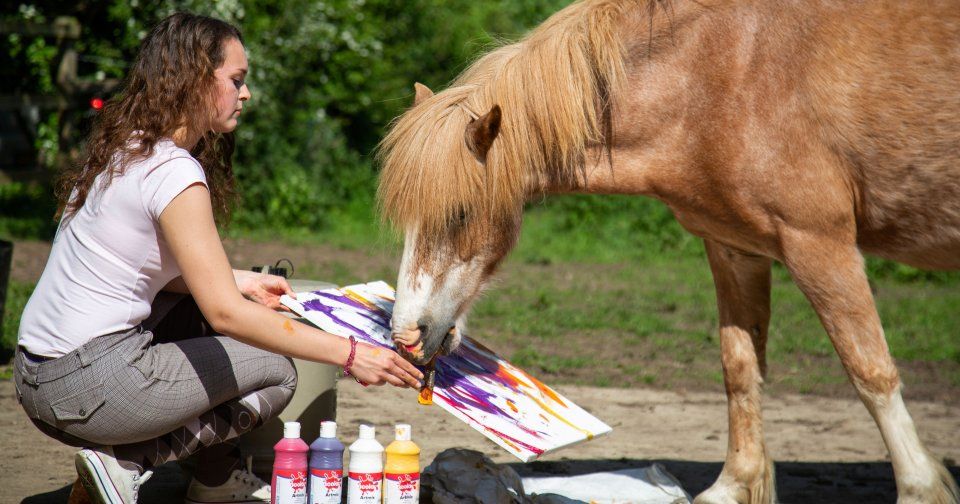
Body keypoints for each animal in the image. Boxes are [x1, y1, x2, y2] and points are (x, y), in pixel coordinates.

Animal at [376, 1, 960, 502]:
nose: (406, 336)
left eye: (459, 213)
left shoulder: (819, 242)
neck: (722, 73)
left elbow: (871, 372)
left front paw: (919, 489)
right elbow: (740, 368)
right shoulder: (733, 248)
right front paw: (732, 486)